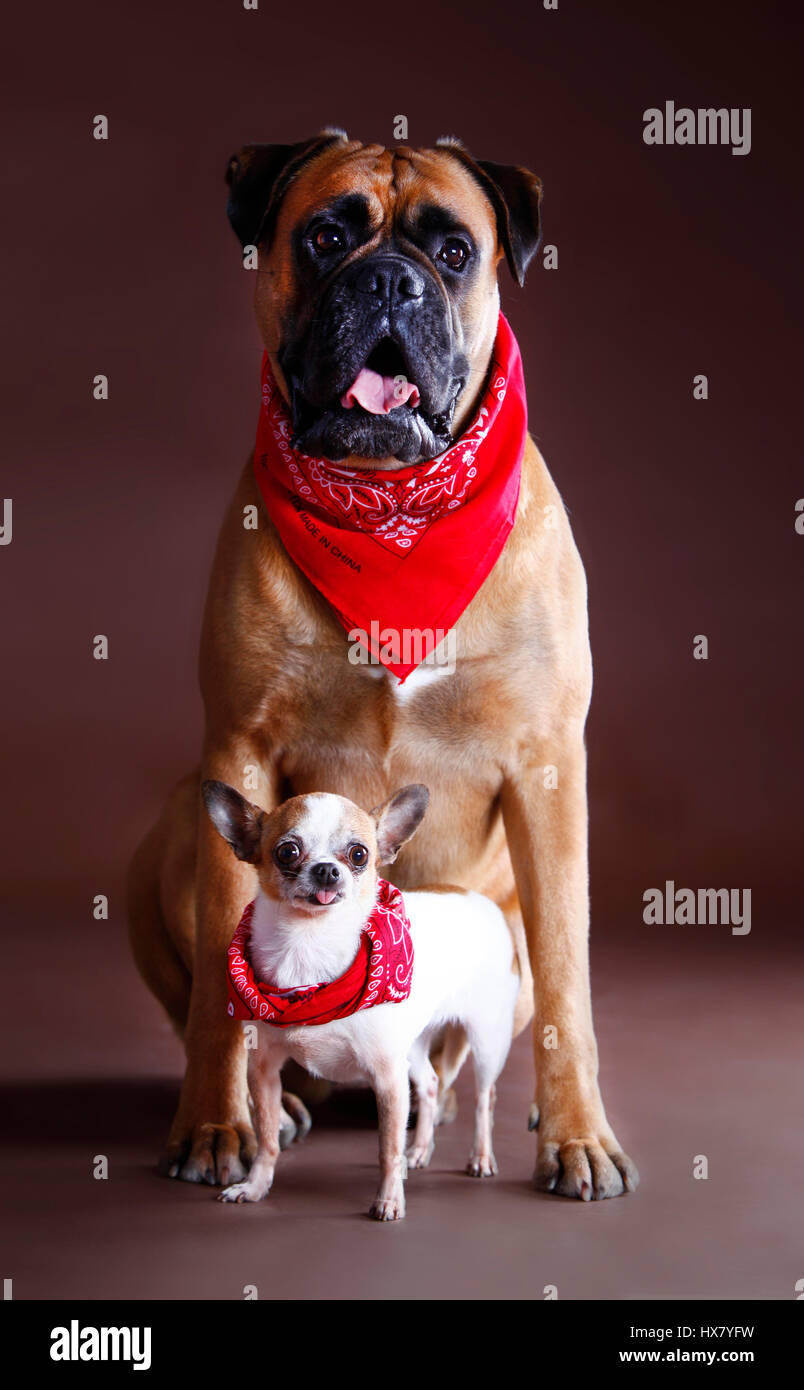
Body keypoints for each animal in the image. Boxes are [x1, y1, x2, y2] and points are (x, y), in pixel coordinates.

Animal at [126, 127, 639, 1195]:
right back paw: (279, 1102)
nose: (390, 282)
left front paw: (579, 1134)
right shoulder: (238, 753)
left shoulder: (548, 772)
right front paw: (214, 1124)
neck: (392, 509)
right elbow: (219, 999)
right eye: (325, 236)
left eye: (454, 252)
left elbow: (570, 984)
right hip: (169, 831)